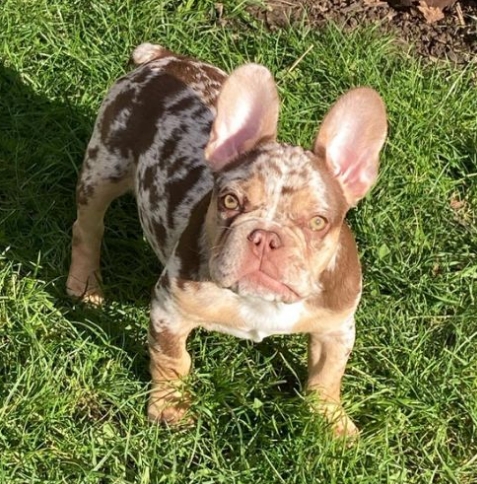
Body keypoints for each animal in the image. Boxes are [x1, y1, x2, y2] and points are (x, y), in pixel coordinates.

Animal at [67, 43, 386, 436]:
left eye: (317, 222)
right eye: (230, 201)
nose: (265, 236)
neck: (262, 303)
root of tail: (163, 58)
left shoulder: (336, 326)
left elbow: (327, 374)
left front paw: (331, 422)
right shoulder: (169, 311)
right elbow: (171, 359)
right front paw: (170, 407)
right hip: (105, 165)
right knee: (88, 227)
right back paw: (85, 286)